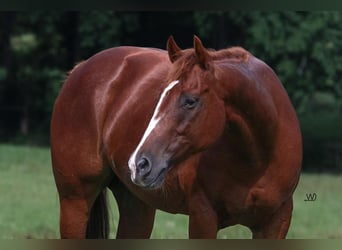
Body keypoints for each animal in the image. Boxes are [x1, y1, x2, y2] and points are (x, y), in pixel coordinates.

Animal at [50, 36, 302, 239]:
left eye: (190, 101)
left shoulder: (276, 222)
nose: (139, 164)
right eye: (160, 95)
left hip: (137, 207)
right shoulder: (203, 217)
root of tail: (80, 69)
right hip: (75, 201)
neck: (258, 158)